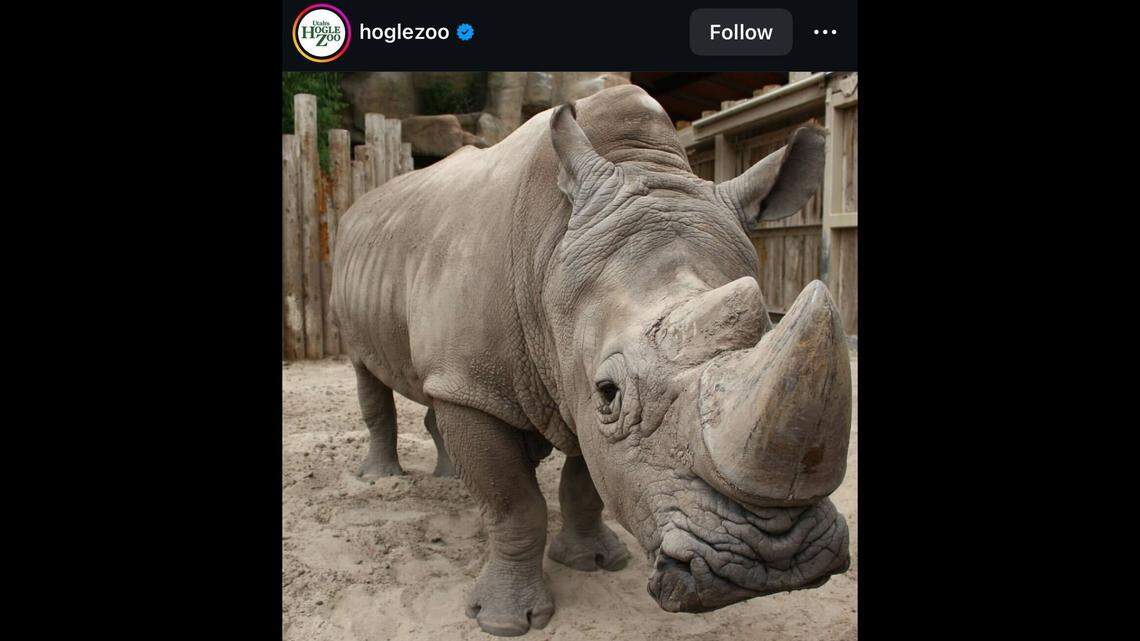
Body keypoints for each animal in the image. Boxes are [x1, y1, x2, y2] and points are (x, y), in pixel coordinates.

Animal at [331, 84, 852, 636]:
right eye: (610, 392)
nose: (772, 562)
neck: (549, 249)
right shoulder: (481, 382)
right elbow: (514, 504)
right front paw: (506, 622)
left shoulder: (561, 376)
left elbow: (586, 483)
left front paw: (596, 562)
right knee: (367, 371)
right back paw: (381, 480)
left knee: (433, 389)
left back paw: (450, 478)